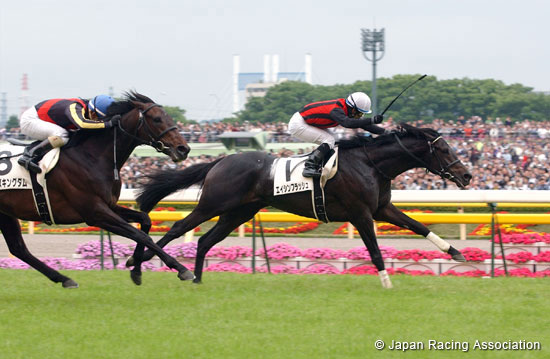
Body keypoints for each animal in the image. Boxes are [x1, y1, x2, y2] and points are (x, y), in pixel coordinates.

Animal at [0, 91, 196, 288]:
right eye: (156, 119)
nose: (183, 149)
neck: (92, 157)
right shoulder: (94, 212)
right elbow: (140, 235)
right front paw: (182, 269)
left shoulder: (109, 205)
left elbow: (145, 220)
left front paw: (135, 266)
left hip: (6, 214)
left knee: (18, 248)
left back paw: (65, 279)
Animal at [130, 124, 474, 290]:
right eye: (445, 149)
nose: (467, 175)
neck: (371, 163)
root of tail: (220, 161)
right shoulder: (361, 213)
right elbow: (375, 250)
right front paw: (387, 282)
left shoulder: (381, 209)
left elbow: (419, 226)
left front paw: (456, 253)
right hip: (213, 203)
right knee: (178, 228)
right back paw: (143, 263)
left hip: (239, 212)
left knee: (204, 240)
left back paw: (197, 279)